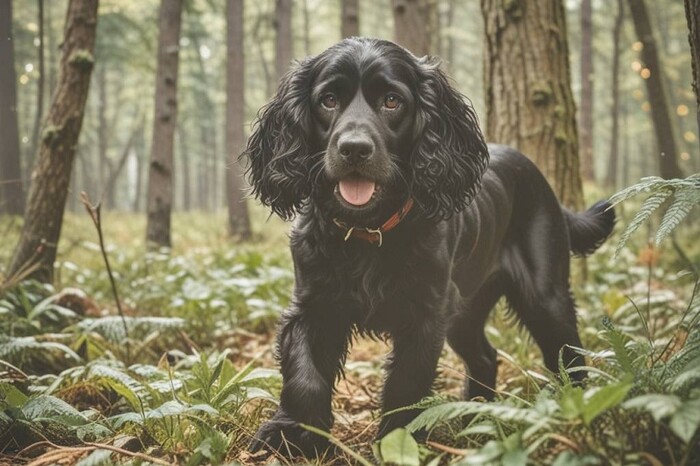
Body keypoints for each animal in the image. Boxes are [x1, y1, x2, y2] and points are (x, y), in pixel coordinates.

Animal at [243, 37, 616, 458]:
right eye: (328, 99)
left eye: (392, 100)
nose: (354, 149)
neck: (368, 231)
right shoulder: (314, 305)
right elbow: (303, 374)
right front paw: (292, 433)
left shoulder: (424, 314)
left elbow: (406, 383)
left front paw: (397, 440)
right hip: (466, 313)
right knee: (486, 357)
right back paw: (475, 415)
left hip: (543, 297)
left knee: (571, 358)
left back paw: (576, 413)